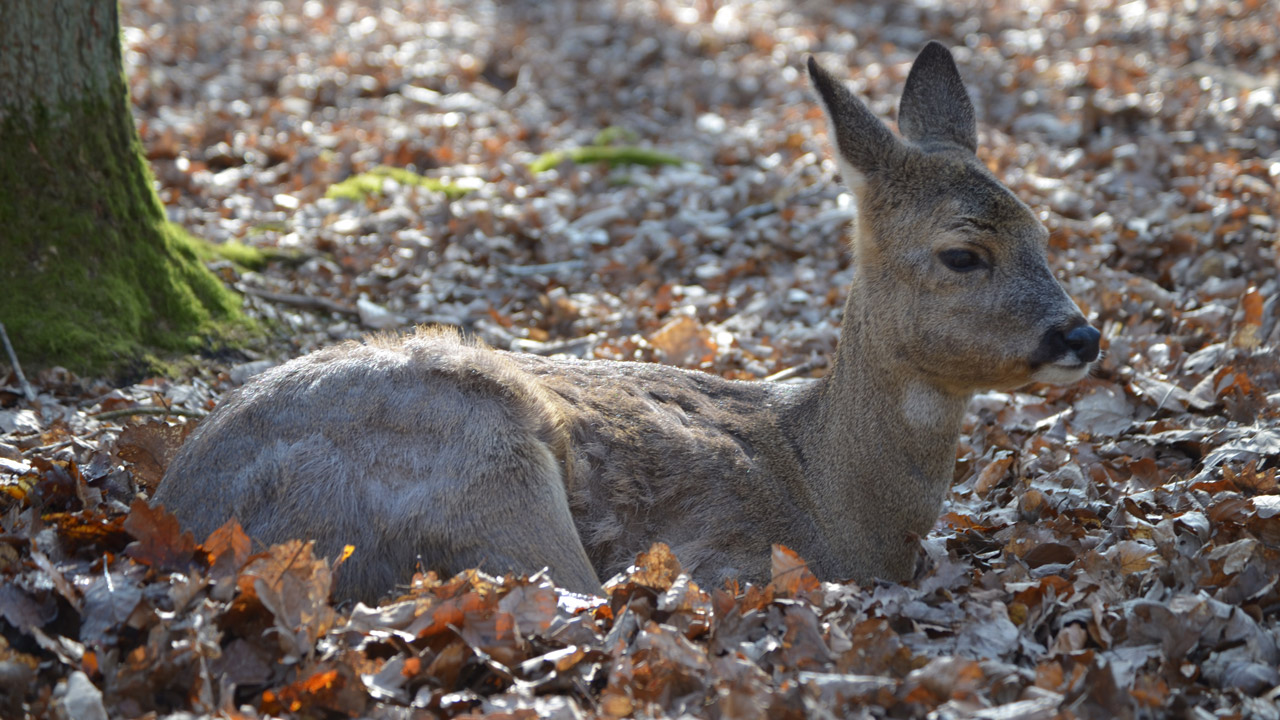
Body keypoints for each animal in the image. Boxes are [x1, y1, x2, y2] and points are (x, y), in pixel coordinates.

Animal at [154, 40, 1100, 599]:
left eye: (1046, 231)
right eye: (963, 254)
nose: (1081, 335)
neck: (836, 505)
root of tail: (179, 512)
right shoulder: (728, 554)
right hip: (488, 475)